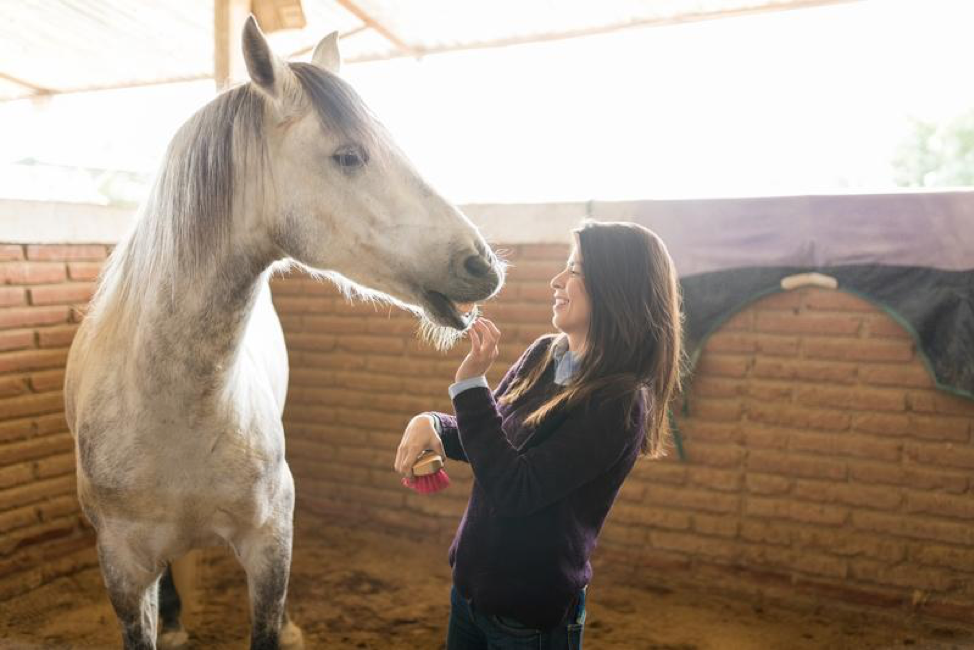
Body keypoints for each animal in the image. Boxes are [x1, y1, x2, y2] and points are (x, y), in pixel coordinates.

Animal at [63, 17, 504, 644]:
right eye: (348, 156)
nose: (483, 265)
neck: (171, 409)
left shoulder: (270, 545)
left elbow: (267, 623)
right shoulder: (123, 569)